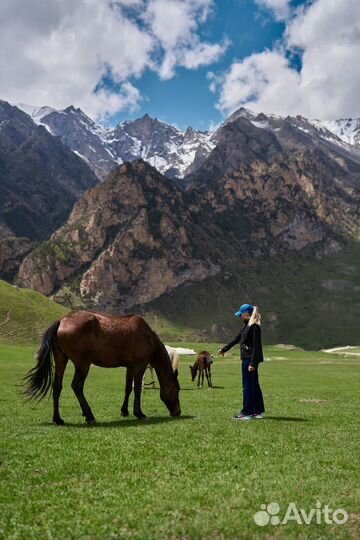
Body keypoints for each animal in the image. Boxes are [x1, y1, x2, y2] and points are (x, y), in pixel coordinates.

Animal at [23, 310, 180, 424]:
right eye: (177, 389)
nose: (178, 412)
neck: (147, 337)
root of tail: (61, 320)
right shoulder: (139, 366)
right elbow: (137, 389)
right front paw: (139, 413)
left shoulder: (130, 367)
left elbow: (128, 388)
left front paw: (124, 411)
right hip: (83, 364)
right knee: (77, 386)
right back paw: (89, 415)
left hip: (61, 360)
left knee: (57, 387)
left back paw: (58, 419)